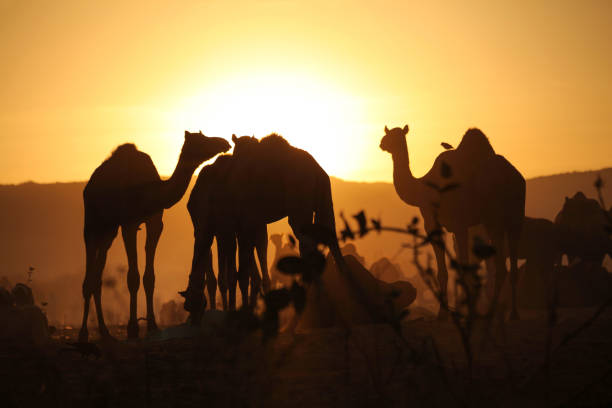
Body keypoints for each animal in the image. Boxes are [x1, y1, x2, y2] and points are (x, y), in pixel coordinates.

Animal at [77, 131, 228, 342]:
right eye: (201, 140)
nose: (224, 143)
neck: (148, 193)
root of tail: (90, 185)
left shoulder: (155, 222)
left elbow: (150, 278)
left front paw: (152, 326)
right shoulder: (129, 224)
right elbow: (132, 277)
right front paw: (132, 329)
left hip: (109, 230)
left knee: (97, 277)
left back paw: (105, 333)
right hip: (91, 224)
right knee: (88, 276)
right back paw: (83, 334)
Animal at [378, 126, 524, 320]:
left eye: (395, 136)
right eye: (388, 133)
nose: (382, 143)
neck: (423, 189)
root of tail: (517, 179)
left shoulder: (443, 222)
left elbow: (457, 270)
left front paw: (452, 312)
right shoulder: (451, 227)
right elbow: (451, 270)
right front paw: (452, 311)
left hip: (495, 219)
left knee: (500, 267)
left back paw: (493, 311)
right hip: (514, 219)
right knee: (511, 267)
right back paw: (512, 313)